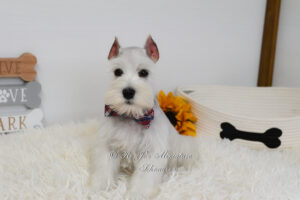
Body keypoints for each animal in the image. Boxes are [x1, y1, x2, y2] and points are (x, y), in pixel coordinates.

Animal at [90, 36, 198, 198]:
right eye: (117, 71)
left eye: (144, 72)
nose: (128, 92)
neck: (131, 115)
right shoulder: (108, 147)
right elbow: (104, 168)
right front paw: (100, 188)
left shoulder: (152, 152)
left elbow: (144, 177)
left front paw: (137, 193)